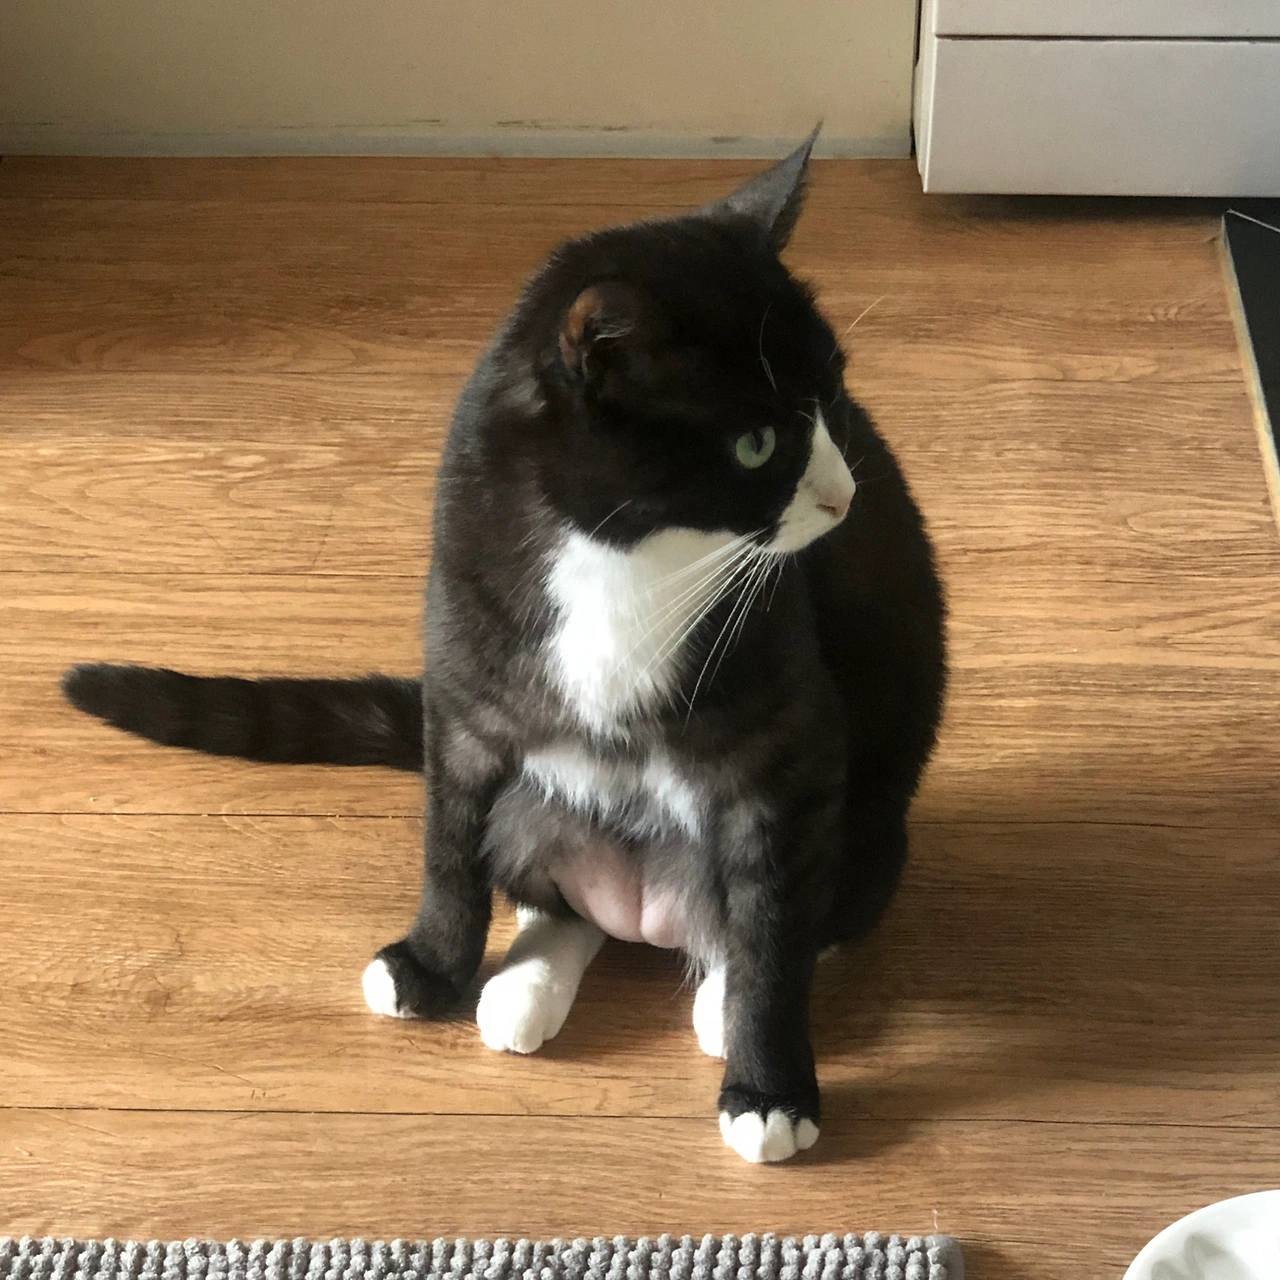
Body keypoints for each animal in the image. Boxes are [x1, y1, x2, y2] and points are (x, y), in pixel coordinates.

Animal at [63, 127, 946, 1164]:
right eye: (757, 444)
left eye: (835, 398)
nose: (845, 498)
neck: (628, 556)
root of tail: (645, 913)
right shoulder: (465, 695)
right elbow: (448, 848)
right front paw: (432, 967)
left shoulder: (783, 747)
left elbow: (770, 922)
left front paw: (768, 1087)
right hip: (540, 810)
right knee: (549, 888)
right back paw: (522, 987)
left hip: (866, 834)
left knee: (779, 910)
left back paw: (714, 1001)